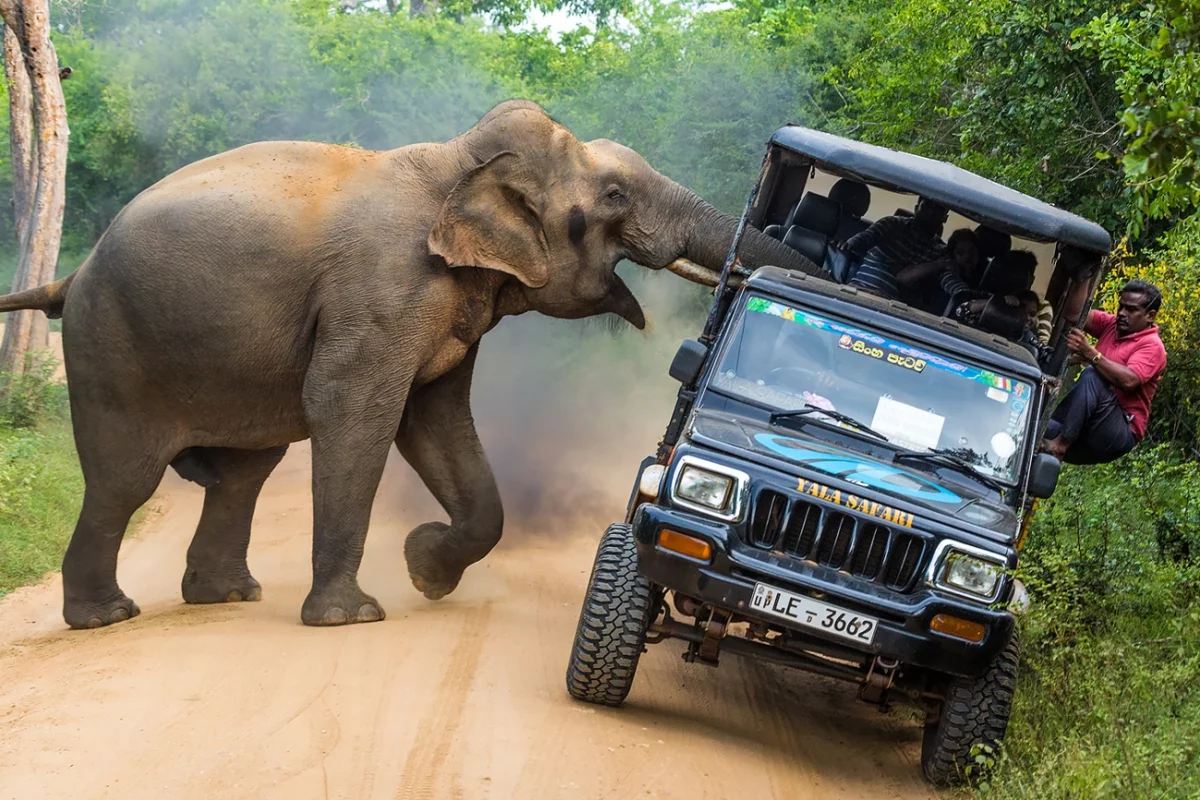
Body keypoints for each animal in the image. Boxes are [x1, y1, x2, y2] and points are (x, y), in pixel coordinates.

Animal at [0, 99, 821, 629]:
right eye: (615, 196)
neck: (457, 162)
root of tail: (74, 276)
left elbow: (436, 421)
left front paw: (425, 570)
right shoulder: (383, 288)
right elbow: (356, 410)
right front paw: (354, 616)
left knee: (243, 473)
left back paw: (227, 598)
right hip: (111, 349)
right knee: (126, 480)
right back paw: (107, 616)